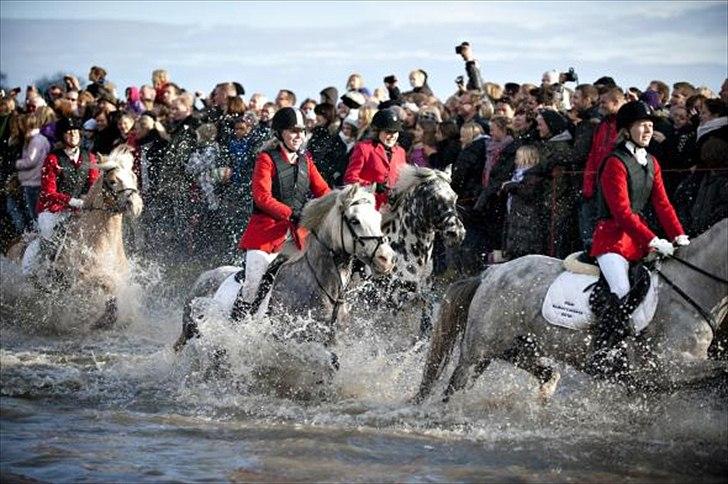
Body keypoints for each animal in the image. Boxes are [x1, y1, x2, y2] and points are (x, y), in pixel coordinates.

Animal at [6, 142, 143, 328]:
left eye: (134, 177)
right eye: (113, 181)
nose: (136, 206)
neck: (103, 241)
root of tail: (15, 243)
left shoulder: (120, 278)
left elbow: (116, 290)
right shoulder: (81, 281)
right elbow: (107, 284)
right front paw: (102, 319)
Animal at [416, 217, 728, 402]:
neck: (693, 285)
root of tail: (491, 273)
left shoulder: (657, 383)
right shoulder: (669, 368)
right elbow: (721, 370)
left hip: (518, 347)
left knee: (545, 372)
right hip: (479, 350)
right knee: (454, 387)